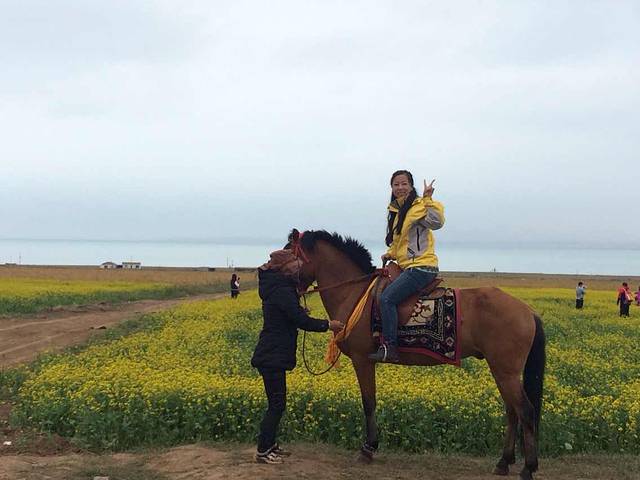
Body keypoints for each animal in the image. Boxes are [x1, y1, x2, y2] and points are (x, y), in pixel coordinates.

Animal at [292, 230, 546, 480]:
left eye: (288, 252)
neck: (354, 293)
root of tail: (528, 311)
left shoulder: (362, 359)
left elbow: (368, 402)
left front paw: (368, 448)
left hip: (505, 371)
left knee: (525, 411)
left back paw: (528, 467)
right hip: (501, 371)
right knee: (512, 411)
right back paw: (503, 462)